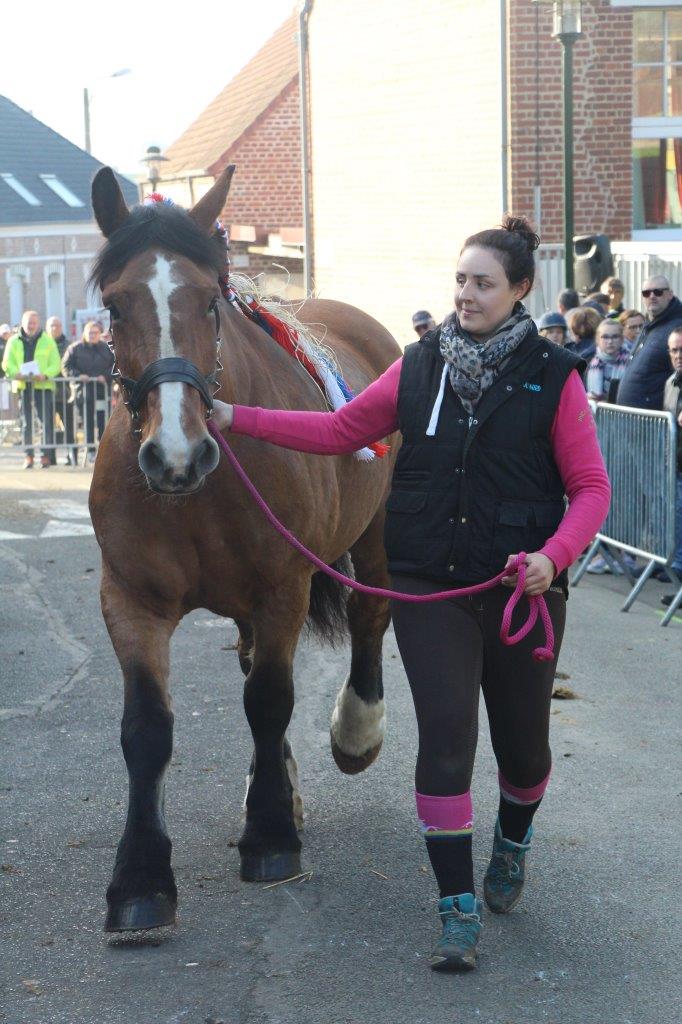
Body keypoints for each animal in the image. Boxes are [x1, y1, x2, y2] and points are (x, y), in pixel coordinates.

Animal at [87, 163, 401, 933]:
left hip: (377, 531)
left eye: (208, 302)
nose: (175, 453)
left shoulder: (282, 588)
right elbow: (147, 728)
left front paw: (270, 836)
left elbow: (270, 699)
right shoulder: (130, 599)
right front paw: (140, 879)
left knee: (370, 617)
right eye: (114, 305)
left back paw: (355, 733)